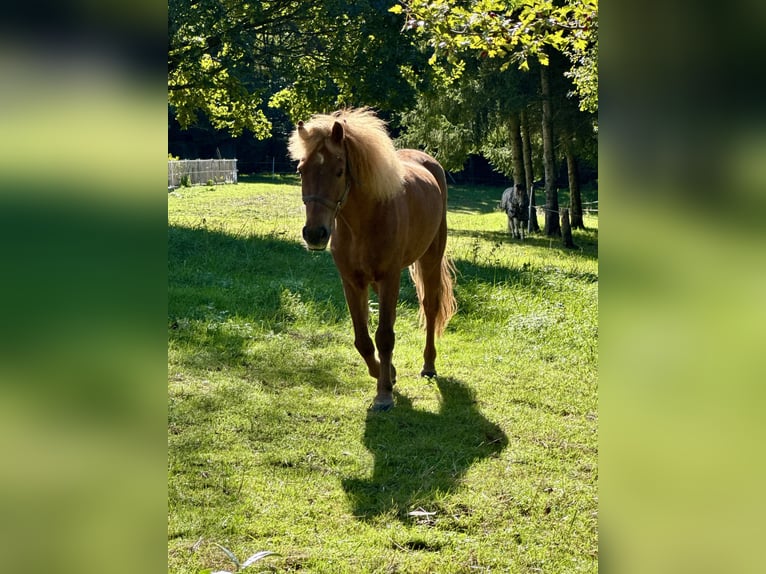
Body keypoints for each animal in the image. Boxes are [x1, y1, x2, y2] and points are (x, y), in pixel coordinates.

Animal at [288, 108, 457, 411]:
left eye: (339, 171)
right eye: (300, 170)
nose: (315, 234)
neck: (364, 223)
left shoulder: (390, 278)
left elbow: (385, 337)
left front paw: (384, 395)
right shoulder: (352, 282)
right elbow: (363, 339)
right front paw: (385, 375)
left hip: (430, 260)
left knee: (430, 308)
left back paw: (428, 365)